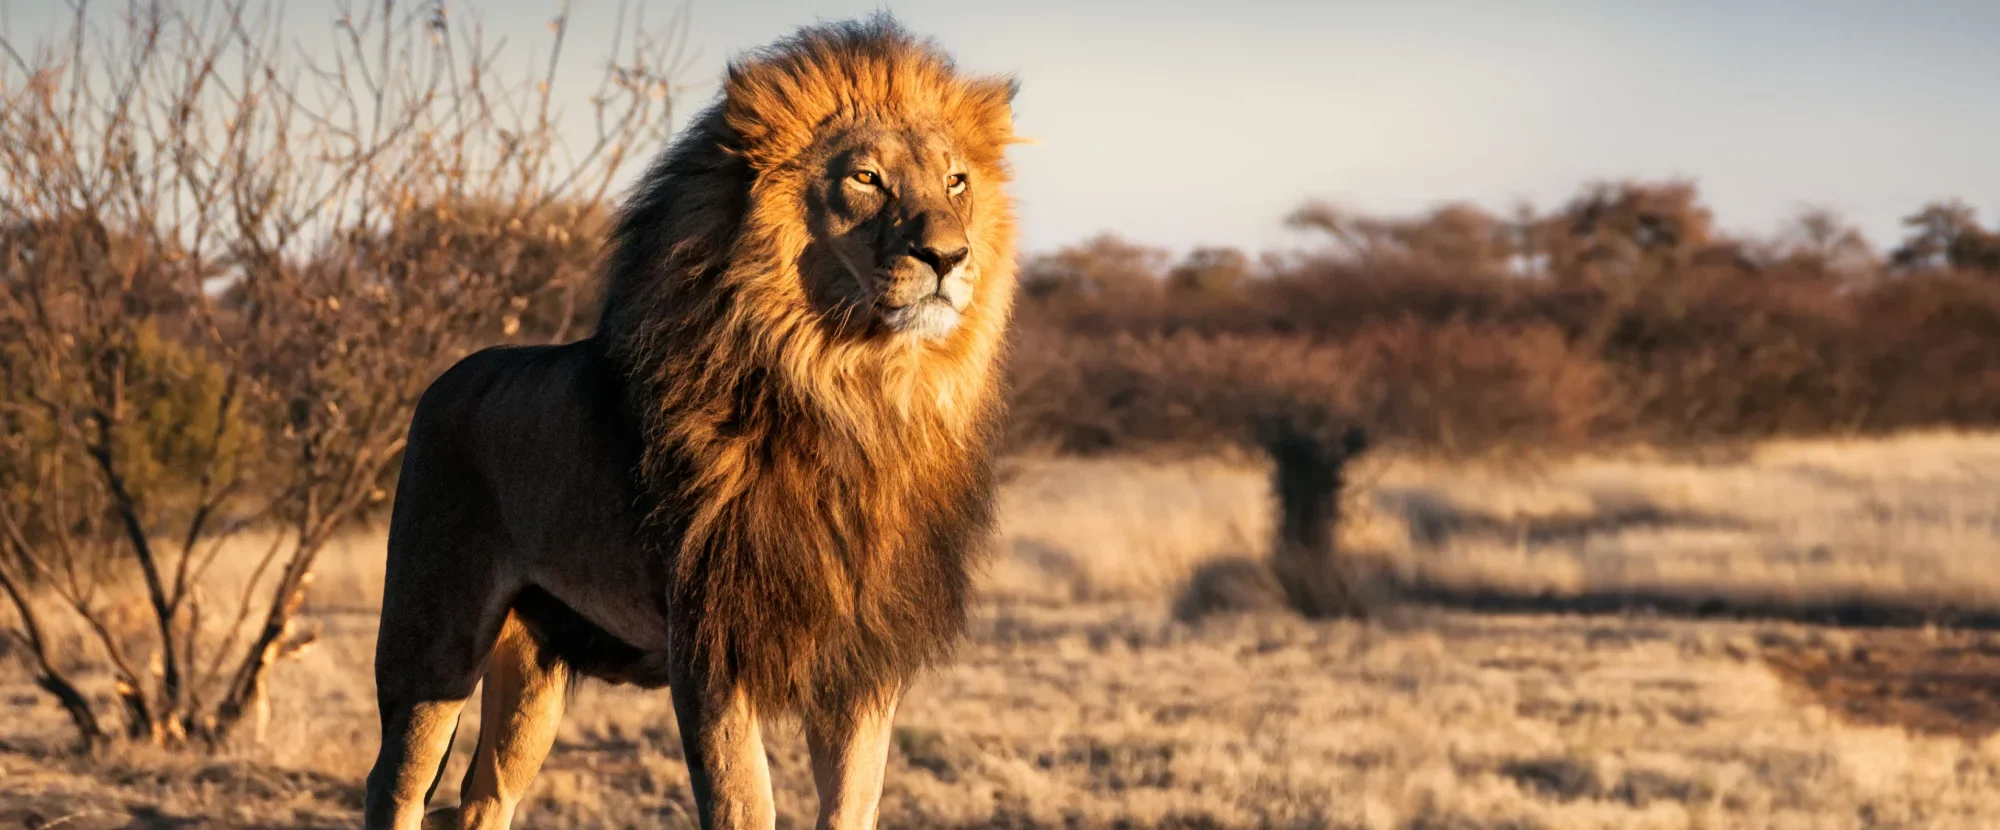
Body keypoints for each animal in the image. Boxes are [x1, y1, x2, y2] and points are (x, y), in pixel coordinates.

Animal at [361, 17, 1022, 830]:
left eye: (957, 181)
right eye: (866, 179)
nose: (949, 255)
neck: (854, 395)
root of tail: (445, 379)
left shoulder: (860, 665)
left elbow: (851, 805)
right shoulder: (712, 656)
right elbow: (744, 804)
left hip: (533, 674)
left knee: (484, 798)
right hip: (431, 646)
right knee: (394, 784)